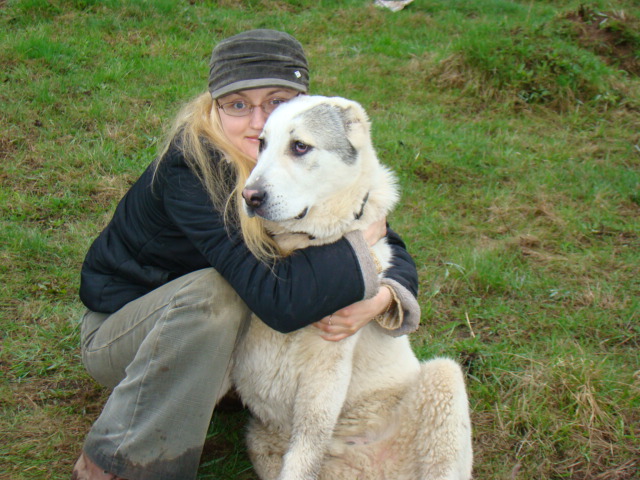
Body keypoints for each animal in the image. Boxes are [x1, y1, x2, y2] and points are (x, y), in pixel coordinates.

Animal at [227, 95, 472, 480]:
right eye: (261, 143)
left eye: (300, 146)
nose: (249, 197)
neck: (305, 248)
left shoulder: (327, 363)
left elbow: (310, 439)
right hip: (259, 441)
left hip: (444, 379)